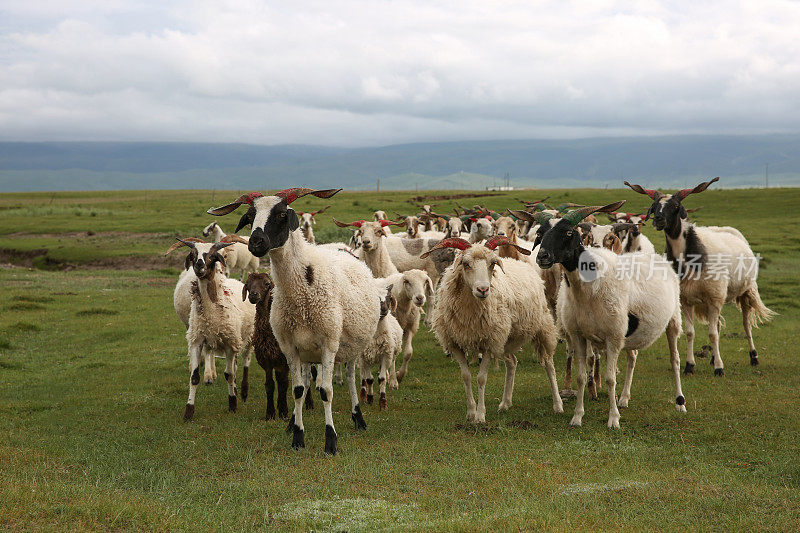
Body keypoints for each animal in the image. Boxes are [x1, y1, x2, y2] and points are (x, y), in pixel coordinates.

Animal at [206, 187, 382, 454]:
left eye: (281, 214)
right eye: (250, 216)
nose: (256, 243)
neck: (300, 295)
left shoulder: (329, 344)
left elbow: (326, 391)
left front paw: (331, 441)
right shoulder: (289, 346)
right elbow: (297, 390)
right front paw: (297, 435)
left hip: (352, 347)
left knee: (352, 378)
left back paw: (358, 418)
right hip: (309, 352)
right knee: (307, 382)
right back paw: (291, 423)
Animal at [424, 235, 564, 422]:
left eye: (492, 264)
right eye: (465, 264)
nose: (483, 289)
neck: (470, 310)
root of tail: (521, 263)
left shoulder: (489, 343)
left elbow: (481, 379)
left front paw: (480, 416)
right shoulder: (456, 343)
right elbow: (466, 377)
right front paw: (470, 412)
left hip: (541, 327)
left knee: (549, 364)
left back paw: (558, 404)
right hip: (506, 338)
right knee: (512, 362)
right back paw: (505, 403)